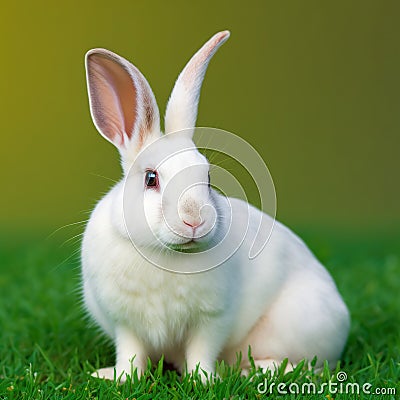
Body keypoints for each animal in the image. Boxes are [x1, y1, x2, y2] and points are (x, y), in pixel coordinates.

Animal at [82, 31, 350, 382]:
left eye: (207, 178)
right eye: (151, 178)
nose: (194, 220)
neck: (167, 255)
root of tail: (342, 315)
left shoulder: (213, 318)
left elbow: (202, 351)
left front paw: (203, 379)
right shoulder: (125, 323)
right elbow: (131, 354)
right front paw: (118, 378)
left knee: (312, 365)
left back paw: (256, 370)